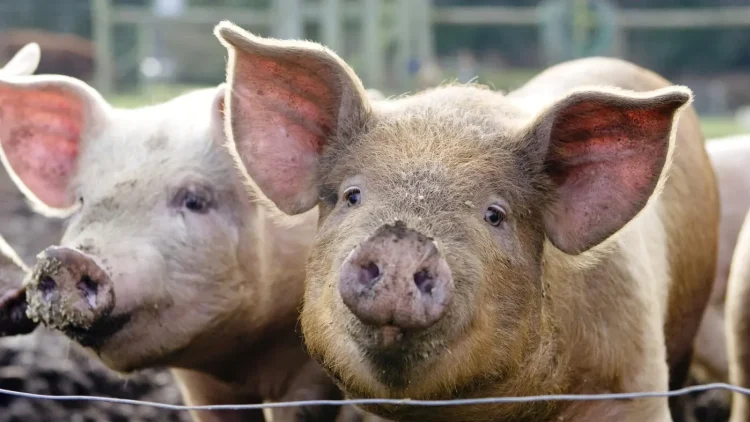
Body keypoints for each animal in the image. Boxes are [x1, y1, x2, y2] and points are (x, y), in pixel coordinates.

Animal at [0, 68, 354, 421]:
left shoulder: (309, 371)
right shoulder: (202, 386)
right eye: (82, 202)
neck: (242, 357)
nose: (65, 259)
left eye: (195, 199)